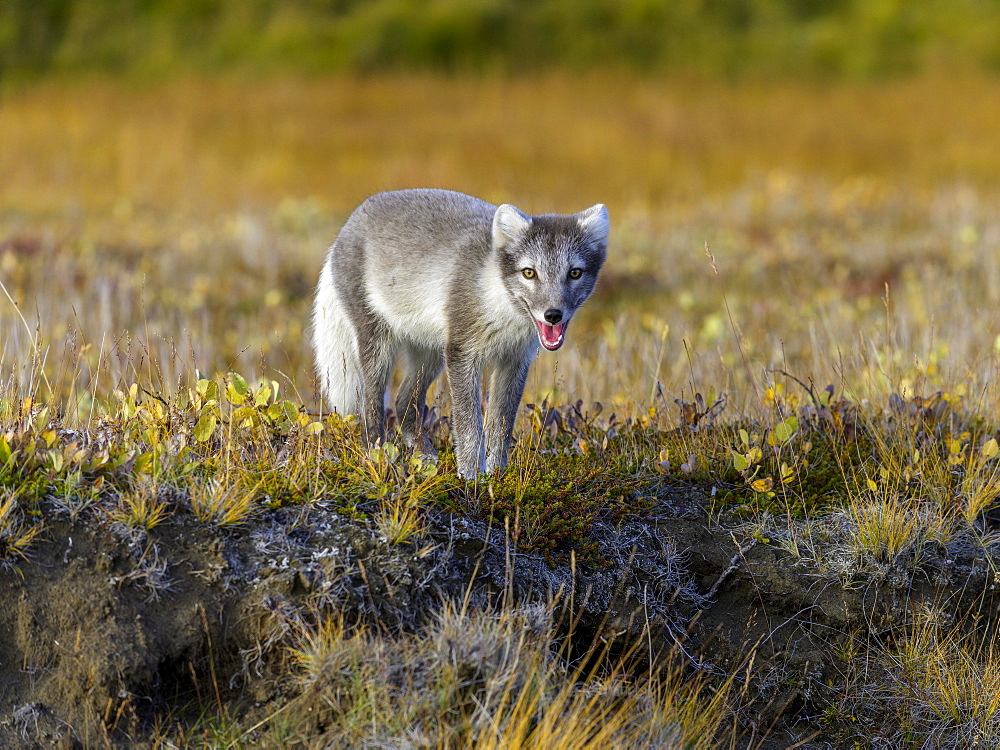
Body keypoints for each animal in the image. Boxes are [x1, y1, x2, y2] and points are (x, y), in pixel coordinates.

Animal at [312, 191, 608, 478]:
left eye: (574, 273)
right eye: (529, 273)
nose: (553, 314)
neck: (501, 303)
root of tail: (350, 223)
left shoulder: (514, 360)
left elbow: (501, 423)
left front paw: (497, 474)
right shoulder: (462, 352)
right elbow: (469, 424)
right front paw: (470, 475)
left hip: (430, 353)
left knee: (404, 401)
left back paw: (425, 456)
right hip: (378, 344)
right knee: (370, 406)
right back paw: (378, 456)